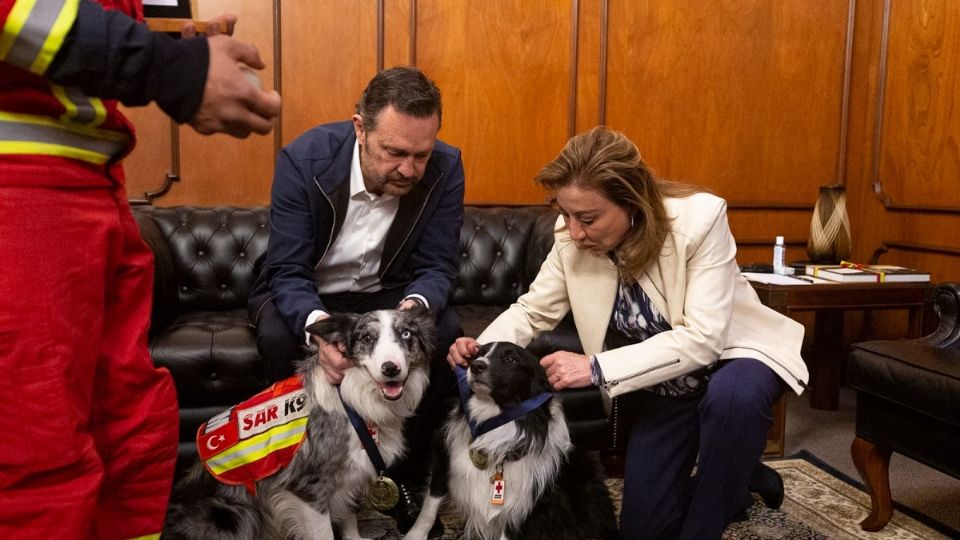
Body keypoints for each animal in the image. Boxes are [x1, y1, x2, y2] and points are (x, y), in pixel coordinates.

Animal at [162, 308, 436, 540]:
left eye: (406, 334)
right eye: (368, 338)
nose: (391, 369)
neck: (355, 402)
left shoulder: (348, 475)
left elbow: (348, 516)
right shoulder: (308, 488)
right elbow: (324, 533)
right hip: (236, 515)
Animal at [404, 342, 616, 540]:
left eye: (510, 360)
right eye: (478, 353)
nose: (476, 365)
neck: (494, 420)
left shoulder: (523, 505)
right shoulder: (444, 459)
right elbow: (429, 506)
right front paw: (414, 535)